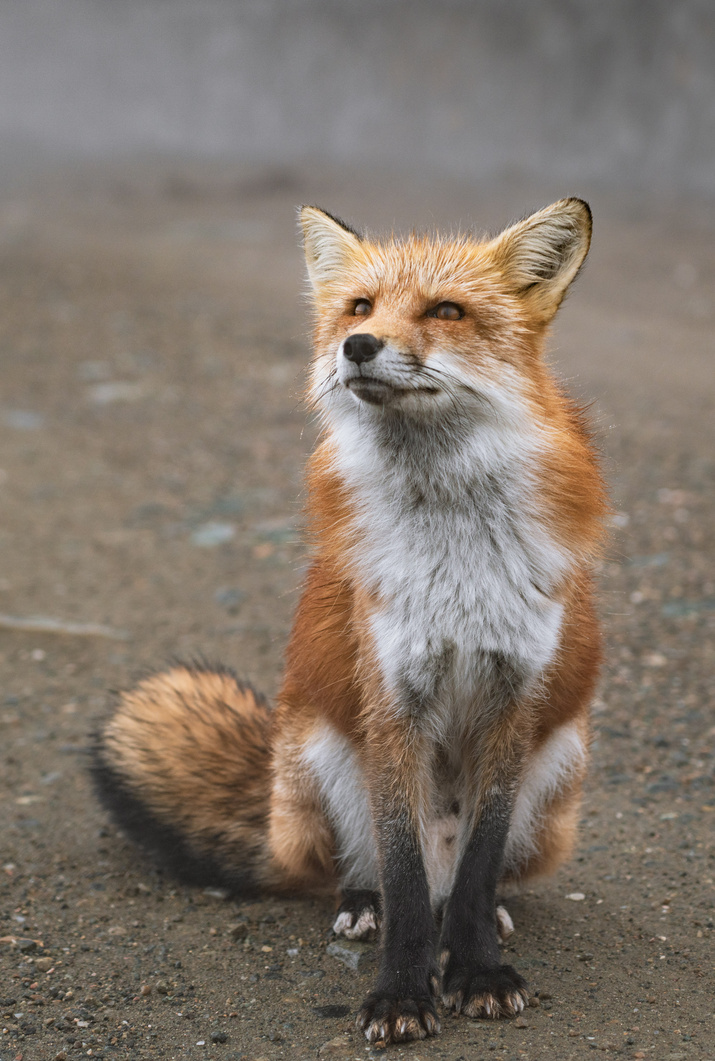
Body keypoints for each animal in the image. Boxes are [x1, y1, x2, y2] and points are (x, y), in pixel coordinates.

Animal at [91, 198, 607, 1045]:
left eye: (446, 311)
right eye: (360, 307)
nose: (356, 346)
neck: (451, 546)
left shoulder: (513, 696)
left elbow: (476, 868)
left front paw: (475, 969)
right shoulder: (391, 696)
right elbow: (400, 874)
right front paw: (401, 990)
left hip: (557, 764)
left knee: (460, 878)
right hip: (321, 755)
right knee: (367, 873)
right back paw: (362, 905)